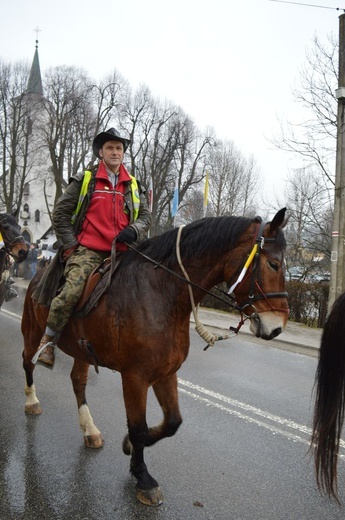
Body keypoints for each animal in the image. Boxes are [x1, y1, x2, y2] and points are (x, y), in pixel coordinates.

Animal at [22, 209, 288, 506]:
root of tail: (38, 274)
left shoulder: (166, 373)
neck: (162, 294)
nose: (277, 327)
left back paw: (89, 429)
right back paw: (32, 400)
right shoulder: (135, 377)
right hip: (32, 332)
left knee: (78, 382)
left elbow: (172, 422)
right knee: (27, 362)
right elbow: (139, 427)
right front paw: (142, 476)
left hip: (82, 350)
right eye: (274, 264)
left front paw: (129, 446)